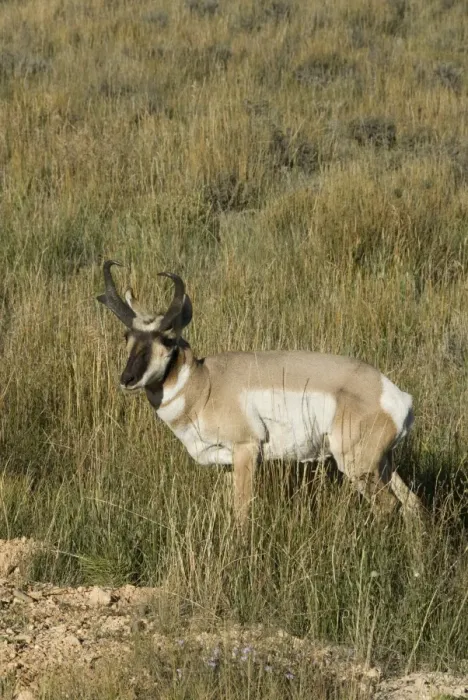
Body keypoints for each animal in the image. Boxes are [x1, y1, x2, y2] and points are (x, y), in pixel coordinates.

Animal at [97, 260, 423, 524]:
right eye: (127, 335)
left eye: (167, 338)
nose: (127, 379)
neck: (205, 384)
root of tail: (394, 395)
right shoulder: (226, 463)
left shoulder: (246, 451)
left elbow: (242, 512)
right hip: (382, 463)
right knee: (412, 503)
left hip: (357, 465)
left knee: (388, 506)